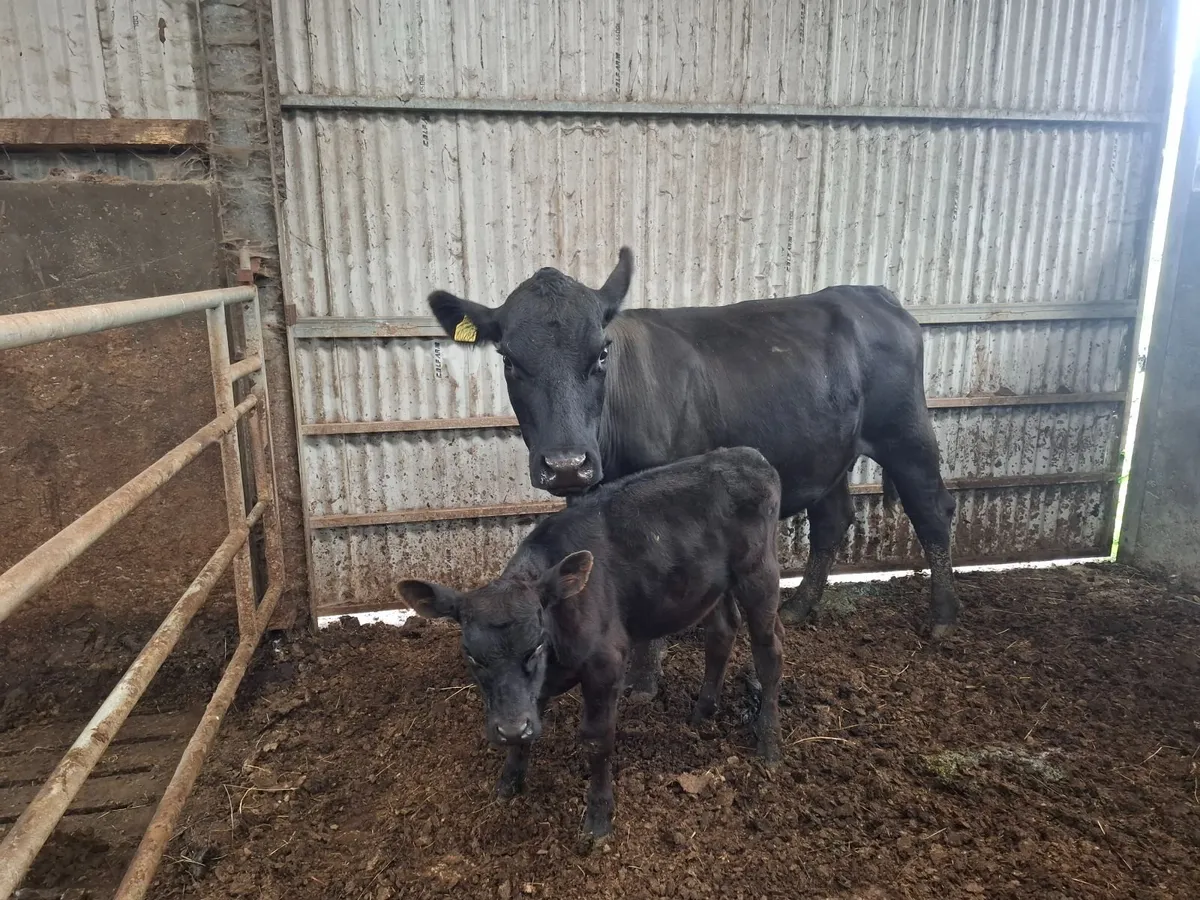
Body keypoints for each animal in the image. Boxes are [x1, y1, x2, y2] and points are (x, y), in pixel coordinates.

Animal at [398, 447, 784, 847]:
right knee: (722, 632)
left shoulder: (606, 665)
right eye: (472, 656)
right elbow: (524, 731)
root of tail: (745, 454)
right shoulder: (531, 693)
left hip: (759, 575)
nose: (509, 729)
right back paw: (702, 713)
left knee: (769, 653)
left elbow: (597, 740)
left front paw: (599, 816)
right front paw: (508, 783)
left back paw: (769, 744)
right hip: (712, 586)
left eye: (534, 647)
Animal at [428, 248, 960, 699]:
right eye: (508, 359)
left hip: (906, 432)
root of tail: (874, 293)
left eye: (601, 353)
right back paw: (798, 608)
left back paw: (942, 617)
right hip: (828, 451)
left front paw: (643, 680)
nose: (565, 464)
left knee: (933, 510)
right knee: (833, 520)